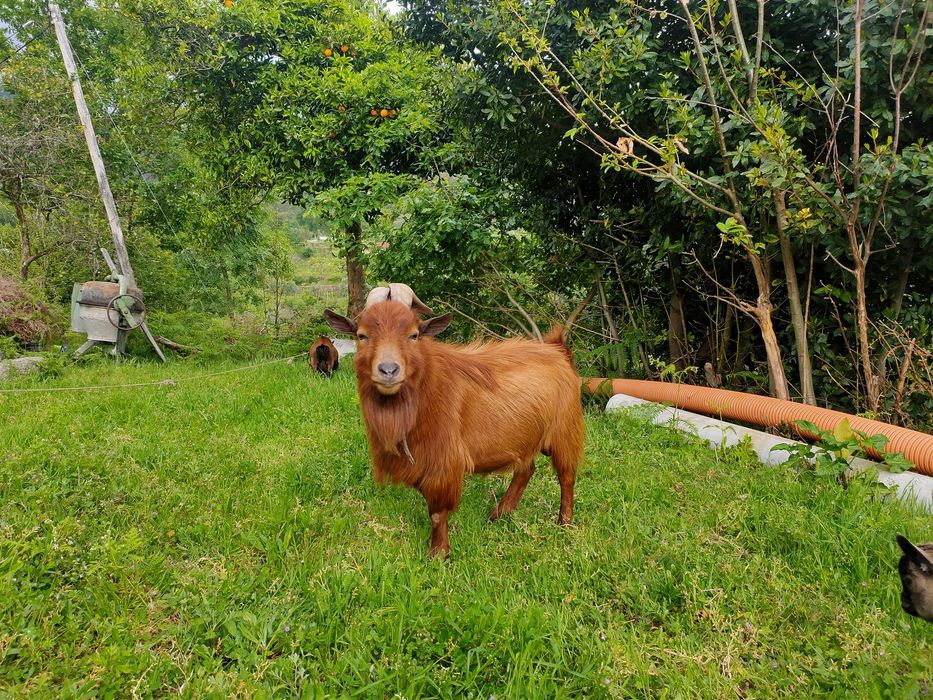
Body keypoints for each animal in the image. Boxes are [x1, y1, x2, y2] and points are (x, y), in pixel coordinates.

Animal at [324, 283, 584, 558]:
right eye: (361, 335)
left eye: (414, 335)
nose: (388, 370)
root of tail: (557, 349)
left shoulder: (443, 462)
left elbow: (437, 513)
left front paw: (438, 553)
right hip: (524, 436)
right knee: (526, 469)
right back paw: (500, 514)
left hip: (565, 430)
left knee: (566, 476)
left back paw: (564, 522)